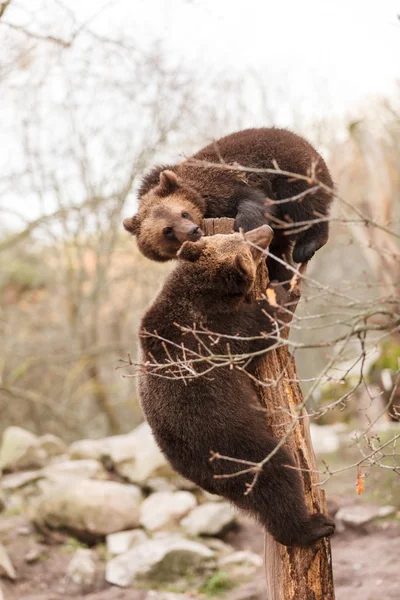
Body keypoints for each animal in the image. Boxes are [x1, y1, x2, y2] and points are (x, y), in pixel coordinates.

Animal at [123, 127, 332, 282]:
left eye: (184, 213)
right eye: (167, 230)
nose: (193, 231)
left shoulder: (226, 184)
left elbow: (254, 202)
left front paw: (244, 229)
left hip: (290, 167)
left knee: (302, 203)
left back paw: (306, 246)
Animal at [138, 226, 334, 548]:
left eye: (237, 233)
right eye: (247, 245)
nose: (266, 230)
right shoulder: (212, 337)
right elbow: (257, 329)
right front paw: (280, 291)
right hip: (230, 441)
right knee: (275, 476)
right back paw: (313, 526)